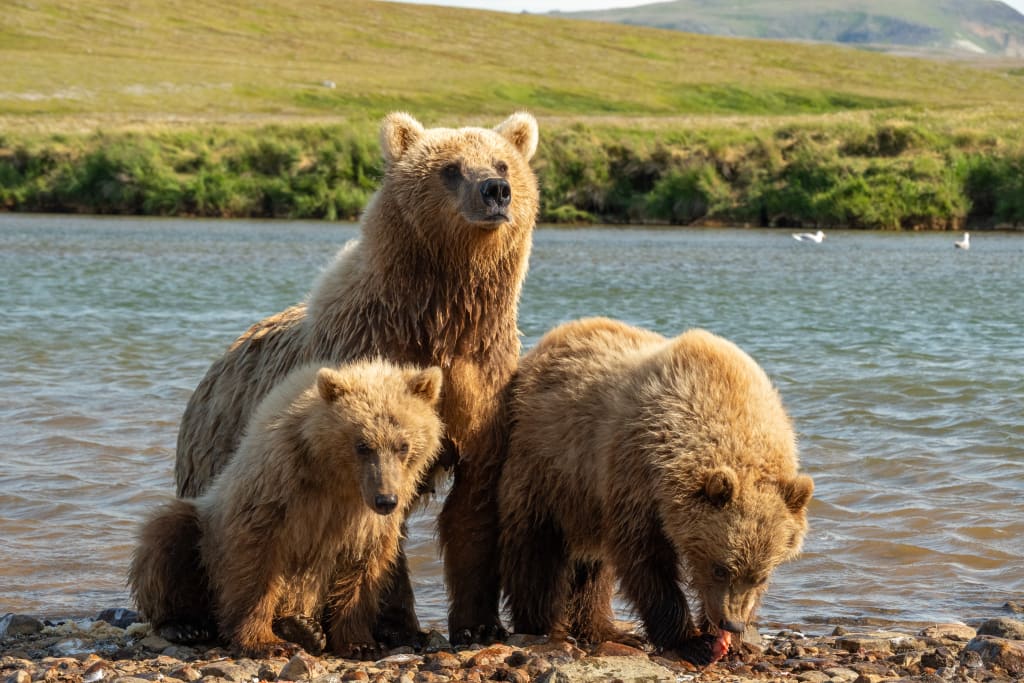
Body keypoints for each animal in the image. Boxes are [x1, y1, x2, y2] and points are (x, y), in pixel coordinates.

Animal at [130, 359, 444, 658]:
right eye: (362, 445)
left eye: (403, 445)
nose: (385, 499)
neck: (335, 479)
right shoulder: (278, 490)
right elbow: (255, 559)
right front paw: (264, 642)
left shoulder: (365, 521)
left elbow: (365, 566)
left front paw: (360, 643)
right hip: (203, 531)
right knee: (168, 533)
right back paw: (183, 624)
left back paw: (305, 629)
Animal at [172, 112, 540, 645]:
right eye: (450, 168)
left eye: (502, 162)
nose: (495, 191)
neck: (440, 319)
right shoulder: (369, 361)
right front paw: (397, 626)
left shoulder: (484, 387)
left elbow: (474, 502)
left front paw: (480, 626)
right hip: (225, 461)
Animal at [496, 318, 814, 665]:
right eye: (720, 568)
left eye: (761, 576)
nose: (732, 622)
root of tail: (555, 336)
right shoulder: (637, 473)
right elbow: (645, 559)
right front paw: (691, 641)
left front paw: (733, 643)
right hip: (546, 463)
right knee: (535, 547)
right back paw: (543, 625)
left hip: (588, 499)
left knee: (593, 563)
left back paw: (602, 629)